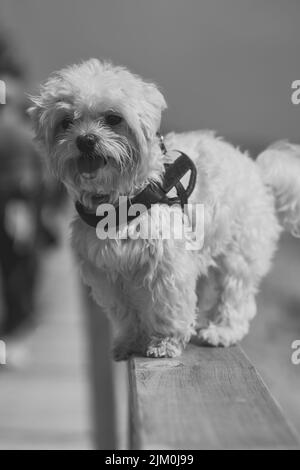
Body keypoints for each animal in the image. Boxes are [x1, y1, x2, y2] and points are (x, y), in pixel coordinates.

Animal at [28, 59, 300, 360]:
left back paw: (221, 331)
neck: (119, 200)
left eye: (113, 118)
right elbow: (126, 312)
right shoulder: (107, 273)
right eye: (66, 122)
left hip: (239, 252)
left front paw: (165, 342)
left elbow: (167, 306)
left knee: (235, 295)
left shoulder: (166, 264)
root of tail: (258, 170)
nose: (86, 139)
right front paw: (130, 341)